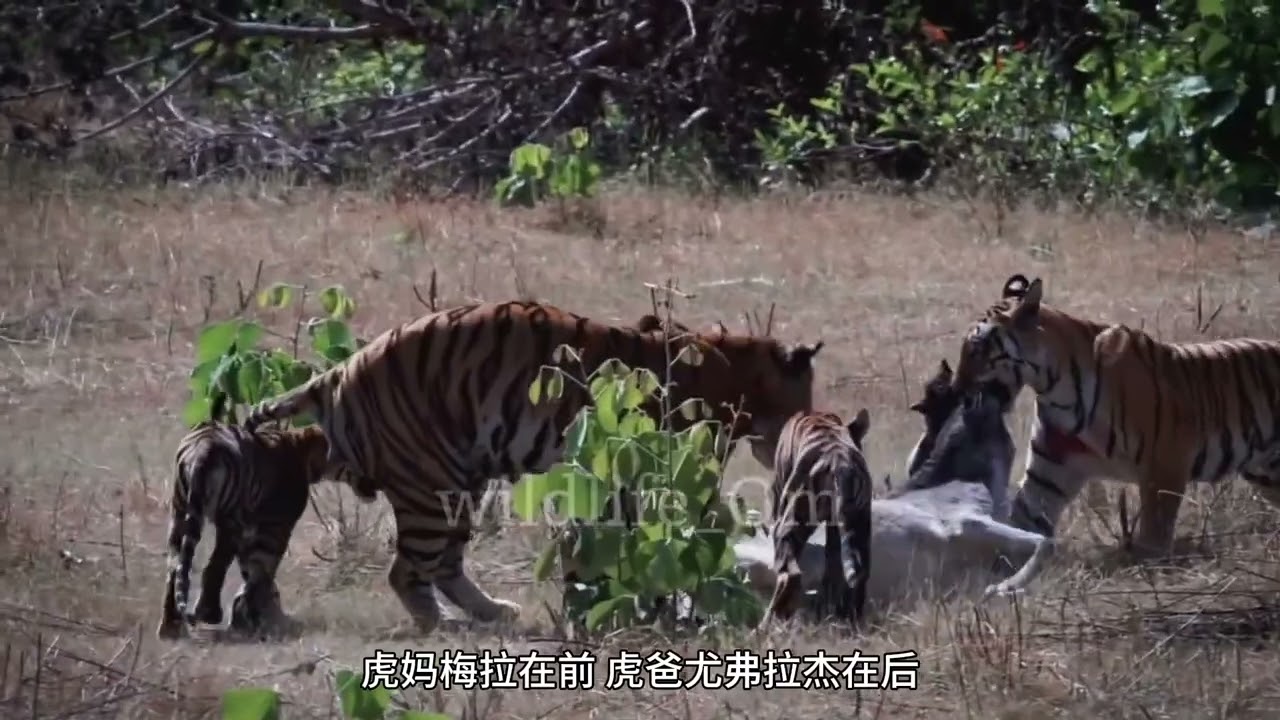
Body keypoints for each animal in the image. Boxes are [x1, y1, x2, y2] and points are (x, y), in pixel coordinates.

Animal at [157, 394, 351, 640]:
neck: (300, 448)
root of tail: (203, 448)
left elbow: (250, 570)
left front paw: (249, 613)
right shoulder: (276, 526)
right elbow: (263, 568)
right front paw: (261, 614)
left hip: (179, 511)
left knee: (174, 566)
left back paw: (169, 627)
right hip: (230, 520)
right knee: (215, 565)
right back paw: (209, 613)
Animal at [240, 300, 824, 636]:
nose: (806, 423)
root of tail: (338, 371)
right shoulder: (662, 468)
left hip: (453, 482)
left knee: (435, 564)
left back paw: (493, 612)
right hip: (431, 485)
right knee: (406, 571)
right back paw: (444, 628)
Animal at [761, 407, 873, 628]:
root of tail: (839, 462)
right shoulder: (835, 530)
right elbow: (832, 568)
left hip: (792, 521)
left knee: (790, 574)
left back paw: (768, 624)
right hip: (860, 526)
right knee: (860, 574)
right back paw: (852, 620)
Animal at [952, 272, 1280, 559]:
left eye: (977, 348)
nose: (956, 389)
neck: (1055, 391)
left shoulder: (1165, 466)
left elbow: (1155, 532)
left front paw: (1149, 570)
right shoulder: (1051, 468)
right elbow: (1025, 517)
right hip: (1267, 472)